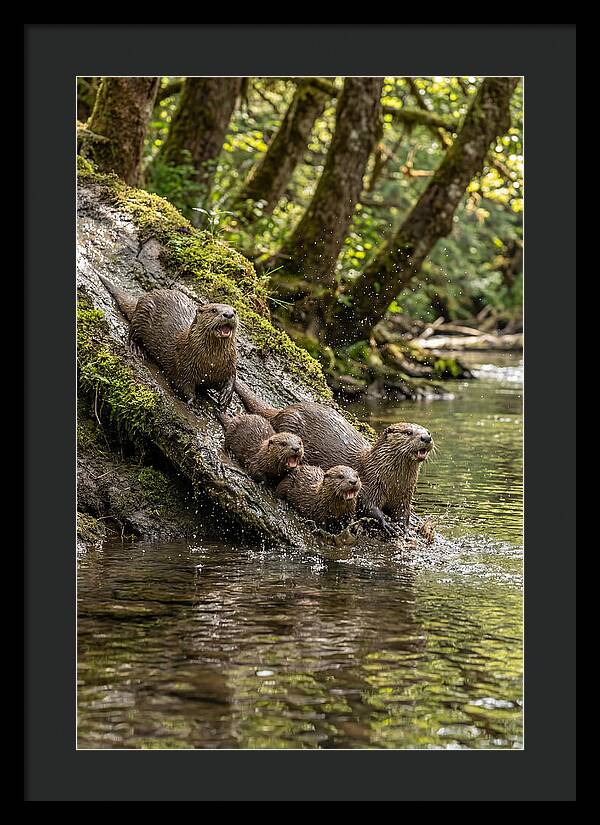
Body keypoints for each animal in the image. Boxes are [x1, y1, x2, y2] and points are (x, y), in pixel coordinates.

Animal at [99, 275, 238, 409]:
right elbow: (183, 385)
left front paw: (225, 396)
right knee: (132, 331)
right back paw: (136, 348)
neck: (211, 364)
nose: (229, 314)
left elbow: (232, 378)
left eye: (235, 311)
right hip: (142, 314)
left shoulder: (229, 364)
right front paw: (194, 402)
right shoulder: (183, 365)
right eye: (213, 310)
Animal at [234, 379, 433, 535]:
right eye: (408, 432)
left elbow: (403, 513)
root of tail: (282, 411)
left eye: (428, 431)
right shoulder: (370, 484)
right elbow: (368, 506)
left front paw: (404, 527)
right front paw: (386, 522)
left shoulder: (404, 495)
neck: (393, 481)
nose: (426, 437)